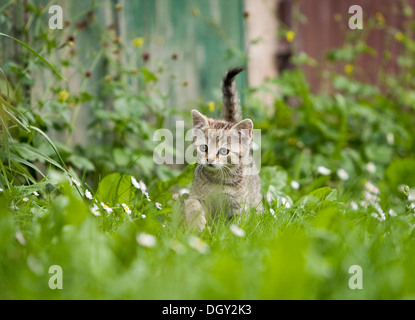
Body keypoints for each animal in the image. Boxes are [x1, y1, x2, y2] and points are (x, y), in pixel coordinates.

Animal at [186, 67, 264, 230]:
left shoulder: (240, 206)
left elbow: (236, 225)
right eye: (204, 147)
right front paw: (197, 224)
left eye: (223, 151)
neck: (218, 180)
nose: (209, 160)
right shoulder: (195, 195)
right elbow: (192, 204)